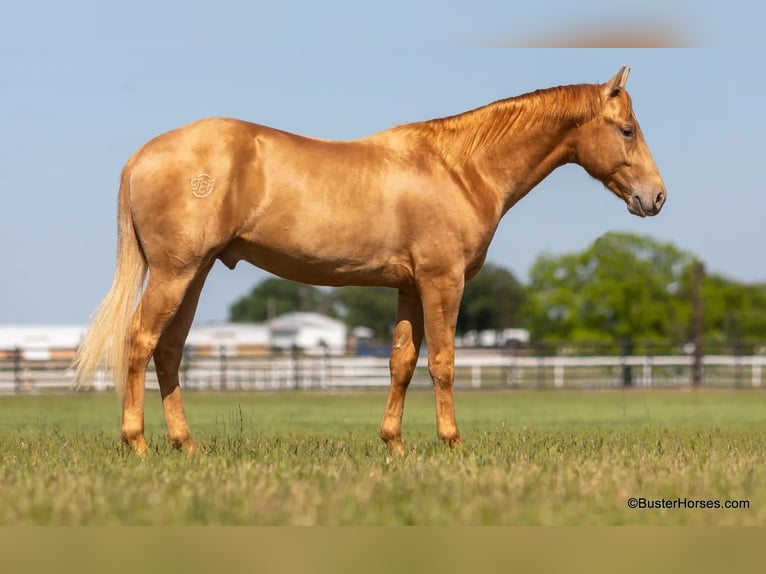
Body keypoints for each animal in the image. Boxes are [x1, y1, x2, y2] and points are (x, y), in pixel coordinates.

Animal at [75, 66, 668, 454]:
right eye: (627, 129)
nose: (657, 197)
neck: (459, 169)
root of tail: (142, 156)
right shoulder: (442, 282)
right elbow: (444, 363)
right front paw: (453, 445)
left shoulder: (409, 287)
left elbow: (402, 362)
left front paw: (394, 446)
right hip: (175, 274)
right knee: (139, 342)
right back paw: (137, 444)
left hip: (192, 275)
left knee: (168, 351)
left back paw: (186, 446)